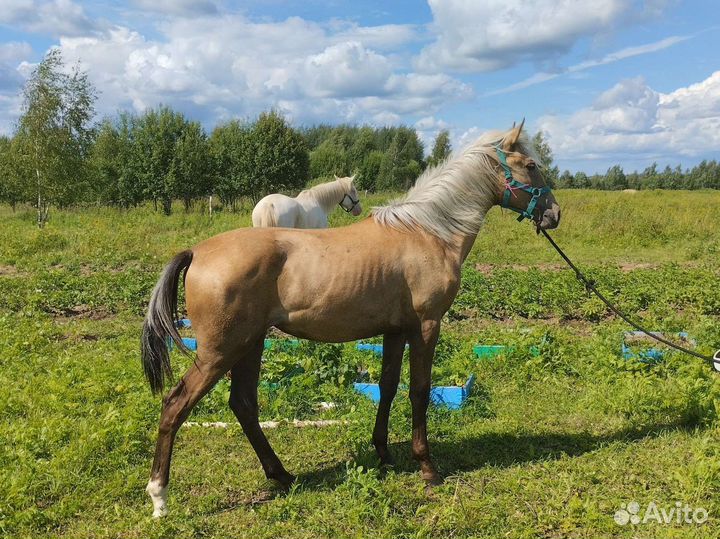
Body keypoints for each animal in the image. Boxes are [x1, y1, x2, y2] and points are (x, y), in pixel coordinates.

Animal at [141, 121, 561, 517]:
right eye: (531, 165)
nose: (554, 214)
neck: (427, 232)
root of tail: (197, 252)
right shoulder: (426, 326)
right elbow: (419, 391)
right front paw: (426, 466)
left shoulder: (396, 330)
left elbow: (388, 387)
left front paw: (384, 454)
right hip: (220, 351)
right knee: (176, 405)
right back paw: (159, 497)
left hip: (250, 344)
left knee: (243, 404)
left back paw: (282, 475)